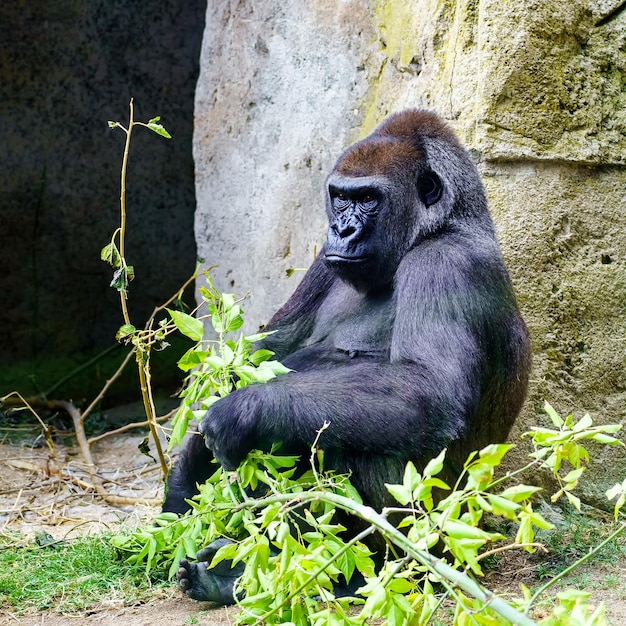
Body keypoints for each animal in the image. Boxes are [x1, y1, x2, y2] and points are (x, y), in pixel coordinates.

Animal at [163, 109, 528, 604]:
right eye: (339, 197)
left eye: (369, 199)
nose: (343, 230)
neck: (440, 225)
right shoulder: (323, 260)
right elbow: (265, 353)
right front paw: (183, 482)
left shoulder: (447, 263)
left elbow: (426, 390)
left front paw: (245, 412)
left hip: (444, 536)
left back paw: (353, 574)